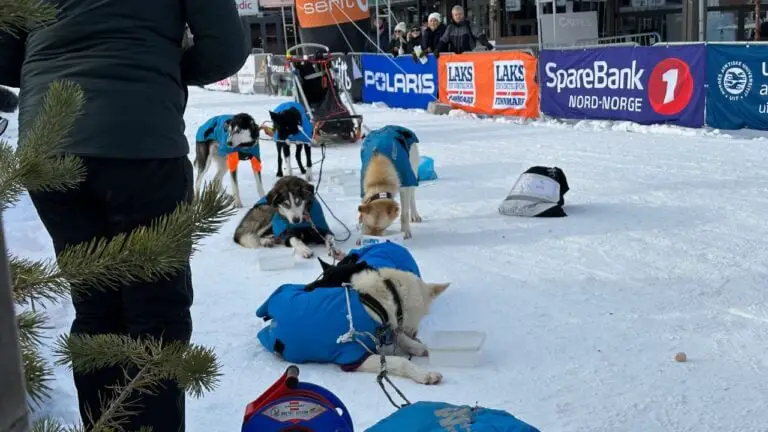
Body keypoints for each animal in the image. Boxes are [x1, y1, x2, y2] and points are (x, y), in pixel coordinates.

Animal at [258, 243, 450, 384]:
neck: (374, 299)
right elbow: (400, 361)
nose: (414, 332)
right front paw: (424, 374)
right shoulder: (353, 356)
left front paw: (422, 348)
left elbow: (404, 340)